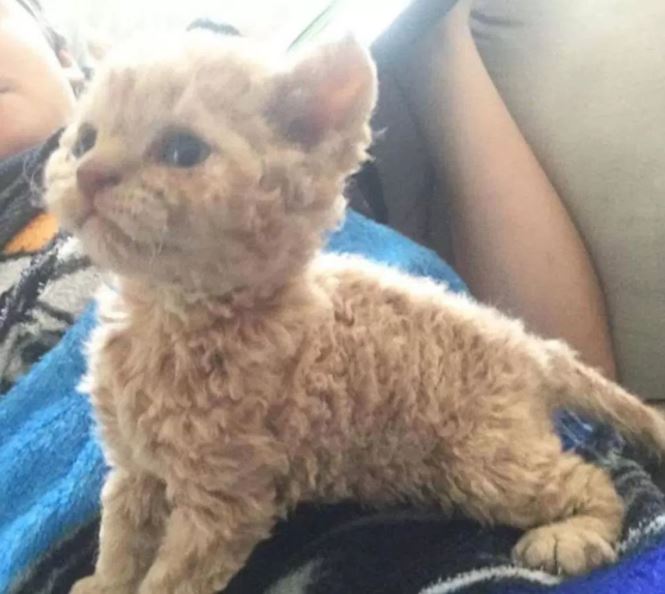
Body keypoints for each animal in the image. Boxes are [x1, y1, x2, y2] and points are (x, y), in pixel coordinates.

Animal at [45, 31, 664, 592]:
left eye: (182, 151)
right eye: (85, 140)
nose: (88, 173)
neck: (167, 318)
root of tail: (528, 343)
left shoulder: (224, 504)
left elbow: (168, 578)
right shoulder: (135, 468)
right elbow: (120, 541)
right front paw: (102, 584)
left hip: (487, 462)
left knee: (591, 480)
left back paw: (573, 536)